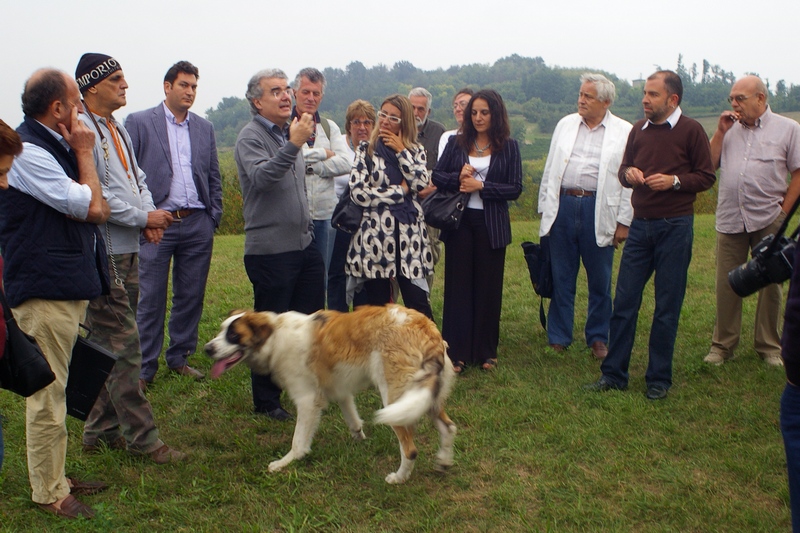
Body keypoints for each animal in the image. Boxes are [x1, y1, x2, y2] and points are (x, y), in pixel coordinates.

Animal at [205, 304, 456, 482]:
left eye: (234, 335)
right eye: (222, 331)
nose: (207, 348)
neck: (274, 336)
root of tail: (426, 328)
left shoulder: (307, 400)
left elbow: (298, 441)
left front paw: (285, 462)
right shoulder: (340, 390)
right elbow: (353, 420)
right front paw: (359, 439)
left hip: (395, 399)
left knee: (410, 449)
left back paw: (399, 478)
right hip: (427, 397)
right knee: (449, 427)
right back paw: (443, 462)